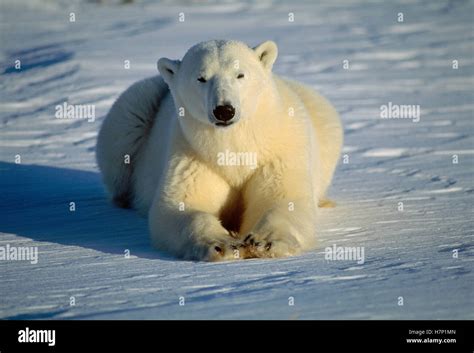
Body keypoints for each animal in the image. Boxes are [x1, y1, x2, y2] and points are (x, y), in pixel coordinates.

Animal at [96, 40, 342, 262]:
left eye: (240, 75)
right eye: (201, 78)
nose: (224, 110)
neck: (234, 145)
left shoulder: (278, 152)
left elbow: (284, 198)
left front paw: (264, 242)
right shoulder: (191, 154)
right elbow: (180, 205)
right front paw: (224, 244)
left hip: (320, 114)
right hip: (137, 108)